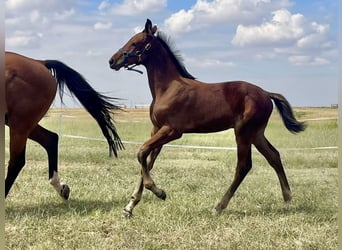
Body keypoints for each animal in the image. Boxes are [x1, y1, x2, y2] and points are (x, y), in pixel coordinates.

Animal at [5, 51, 123, 200]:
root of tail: (40, 62)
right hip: (18, 122)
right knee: (50, 139)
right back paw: (61, 188)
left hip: (20, 123)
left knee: (17, 161)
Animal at [109, 19, 304, 218]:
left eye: (135, 43)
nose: (112, 60)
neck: (168, 88)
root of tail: (266, 93)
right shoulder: (157, 129)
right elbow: (148, 162)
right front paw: (129, 207)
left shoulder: (172, 130)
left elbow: (141, 152)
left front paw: (160, 192)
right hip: (256, 134)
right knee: (274, 156)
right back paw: (288, 200)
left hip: (243, 132)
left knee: (244, 165)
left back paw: (219, 206)